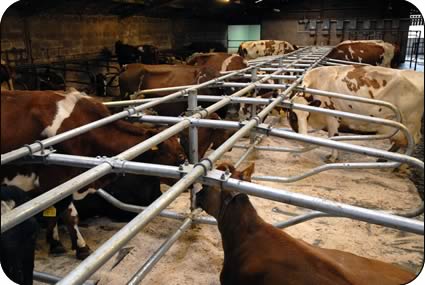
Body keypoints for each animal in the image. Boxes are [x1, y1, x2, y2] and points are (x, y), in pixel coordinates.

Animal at [0, 89, 186, 258]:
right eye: (180, 156)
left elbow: (51, 213)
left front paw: (55, 243)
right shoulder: (56, 180)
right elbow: (69, 215)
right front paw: (81, 248)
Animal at [286, 65, 422, 162]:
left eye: (307, 115)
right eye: (292, 116)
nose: (303, 138)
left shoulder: (332, 117)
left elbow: (333, 136)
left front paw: (333, 157)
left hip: (410, 124)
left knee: (412, 142)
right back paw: (383, 159)